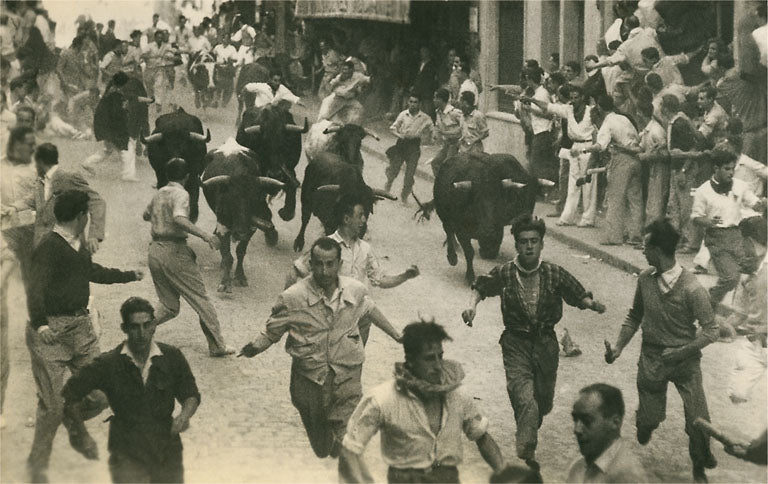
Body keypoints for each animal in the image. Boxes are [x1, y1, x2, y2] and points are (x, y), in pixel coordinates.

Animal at [201, 138, 285, 292]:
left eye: (255, 199)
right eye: (231, 200)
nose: (240, 232)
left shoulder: (251, 227)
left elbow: (240, 251)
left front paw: (240, 276)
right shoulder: (223, 225)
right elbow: (227, 255)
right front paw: (225, 281)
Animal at [235, 104, 308, 233]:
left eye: (284, 143)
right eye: (264, 144)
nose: (275, 174)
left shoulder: (289, 168)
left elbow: (292, 184)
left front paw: (286, 212)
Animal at [293, 121, 392, 252]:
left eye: (359, 141)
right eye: (343, 140)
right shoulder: (329, 225)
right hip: (305, 199)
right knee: (305, 219)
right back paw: (299, 243)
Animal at [416, 152, 548, 283]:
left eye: (498, 199)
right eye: (477, 199)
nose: (527, 217)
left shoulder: (497, 226)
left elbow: (495, 242)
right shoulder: (461, 231)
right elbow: (469, 251)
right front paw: (470, 275)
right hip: (444, 216)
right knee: (448, 231)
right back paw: (453, 255)